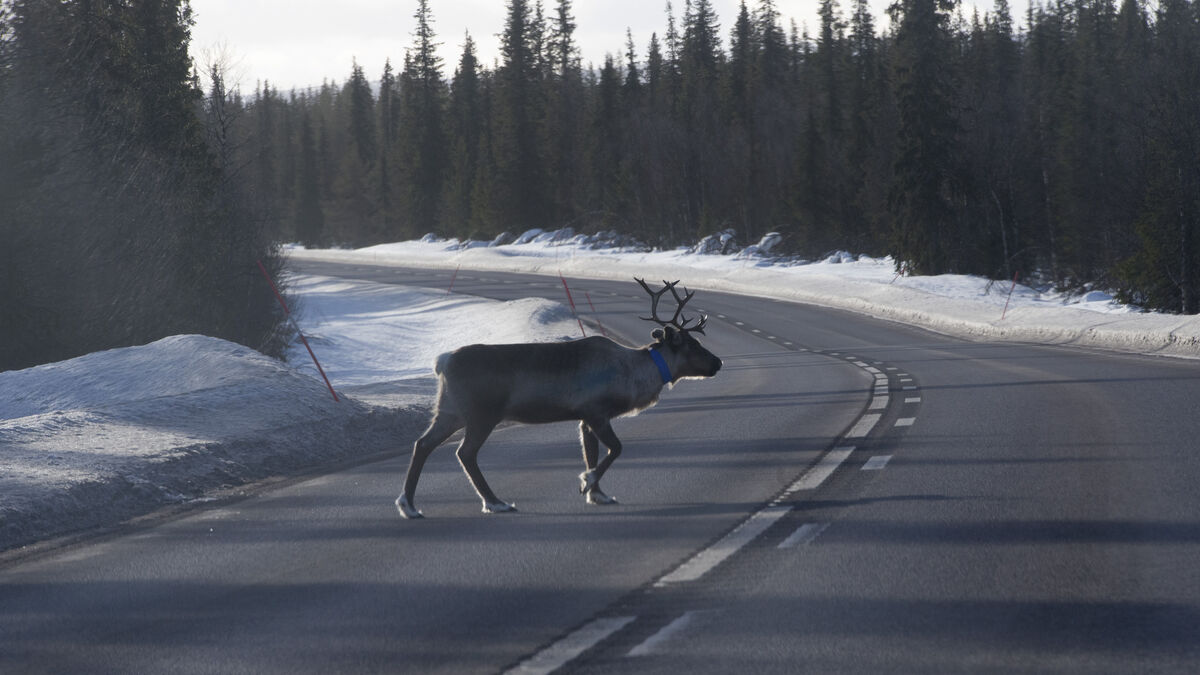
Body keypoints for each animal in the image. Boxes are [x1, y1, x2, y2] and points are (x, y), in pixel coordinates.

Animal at [395, 278, 723, 518]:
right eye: (692, 344)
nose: (718, 362)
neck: (636, 371)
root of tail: (443, 361)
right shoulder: (596, 412)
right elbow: (615, 449)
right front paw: (587, 482)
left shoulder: (584, 419)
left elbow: (592, 453)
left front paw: (598, 495)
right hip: (482, 414)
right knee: (464, 453)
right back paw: (496, 502)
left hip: (449, 411)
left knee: (422, 444)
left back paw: (409, 506)